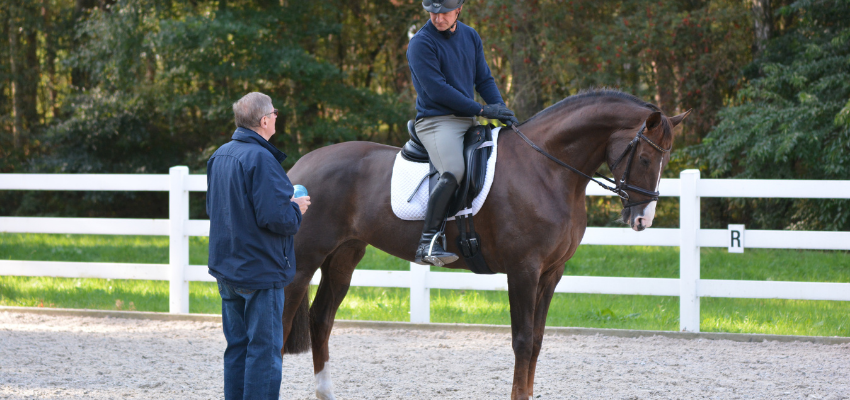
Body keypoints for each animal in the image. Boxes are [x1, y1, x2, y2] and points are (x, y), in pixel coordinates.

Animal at [278, 89, 688, 398]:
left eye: (665, 159)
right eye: (646, 157)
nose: (643, 219)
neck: (547, 170)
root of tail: (299, 168)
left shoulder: (551, 273)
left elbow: (537, 340)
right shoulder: (523, 270)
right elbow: (522, 341)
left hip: (343, 257)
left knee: (320, 320)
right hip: (302, 262)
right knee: (280, 324)